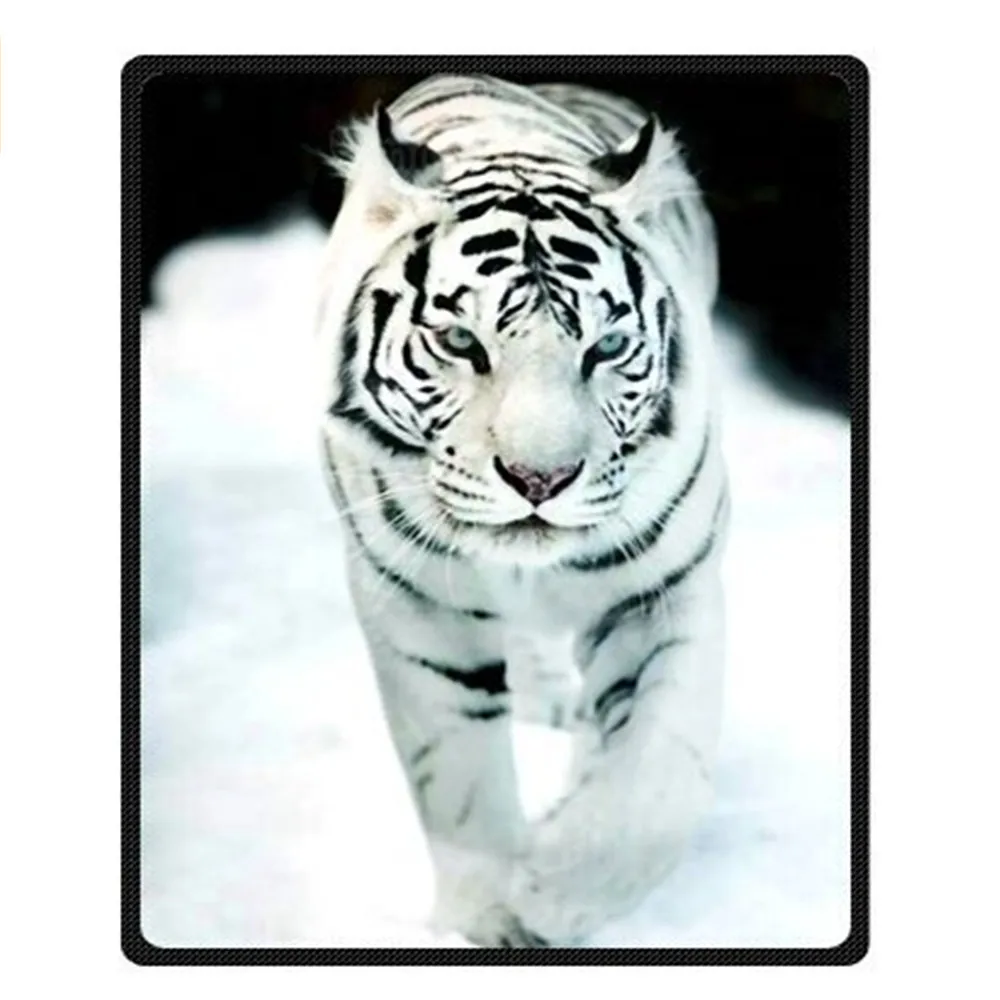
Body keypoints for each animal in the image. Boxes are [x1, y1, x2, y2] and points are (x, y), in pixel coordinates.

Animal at [315, 74, 728, 948]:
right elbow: (458, 776)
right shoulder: (417, 608)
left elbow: (657, 777)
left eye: (606, 348)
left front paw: (556, 893)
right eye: (459, 343)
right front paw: (487, 919)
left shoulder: (664, 588)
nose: (541, 479)